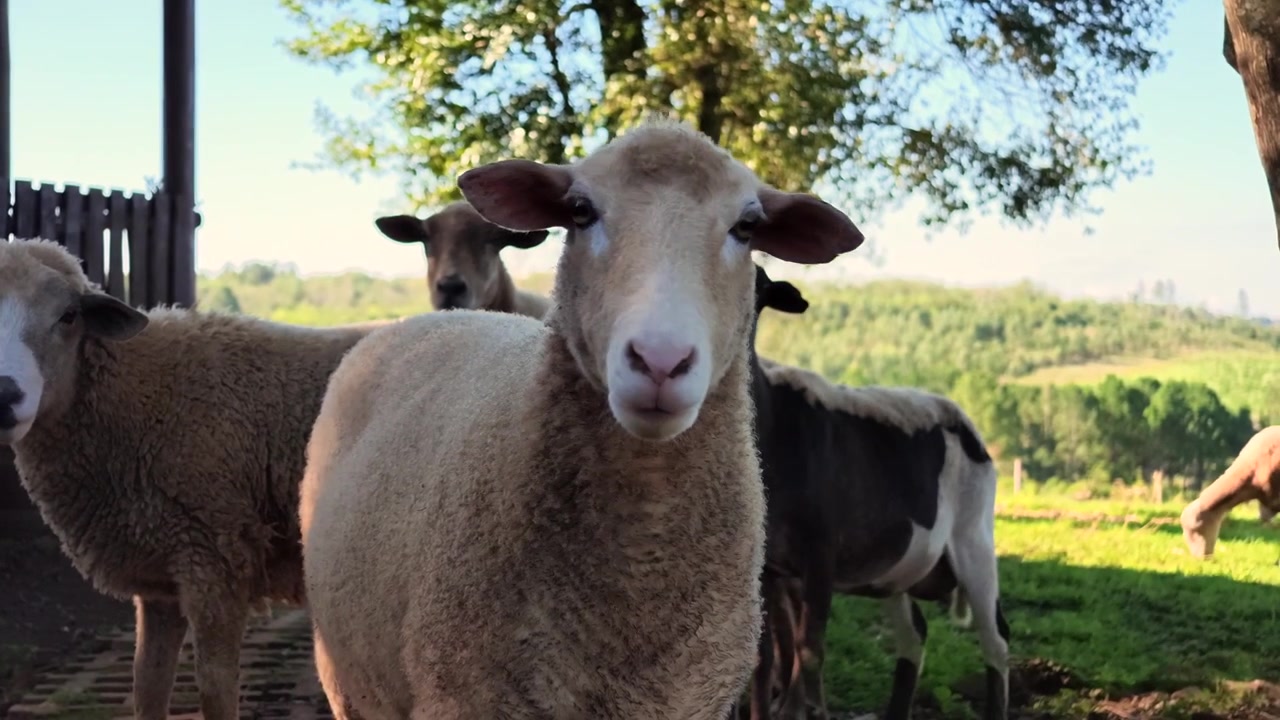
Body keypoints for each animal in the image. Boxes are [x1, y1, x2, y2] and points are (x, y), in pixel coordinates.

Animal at [0, 237, 389, 720]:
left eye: (69, 315)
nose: (3, 394)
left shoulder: (215, 560)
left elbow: (215, 691)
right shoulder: (160, 579)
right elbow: (146, 687)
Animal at [734, 265, 1009, 720]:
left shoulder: (821, 552)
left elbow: (809, 649)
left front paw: (813, 710)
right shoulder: (768, 567)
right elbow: (763, 657)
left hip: (975, 538)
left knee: (996, 639)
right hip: (898, 567)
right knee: (915, 635)